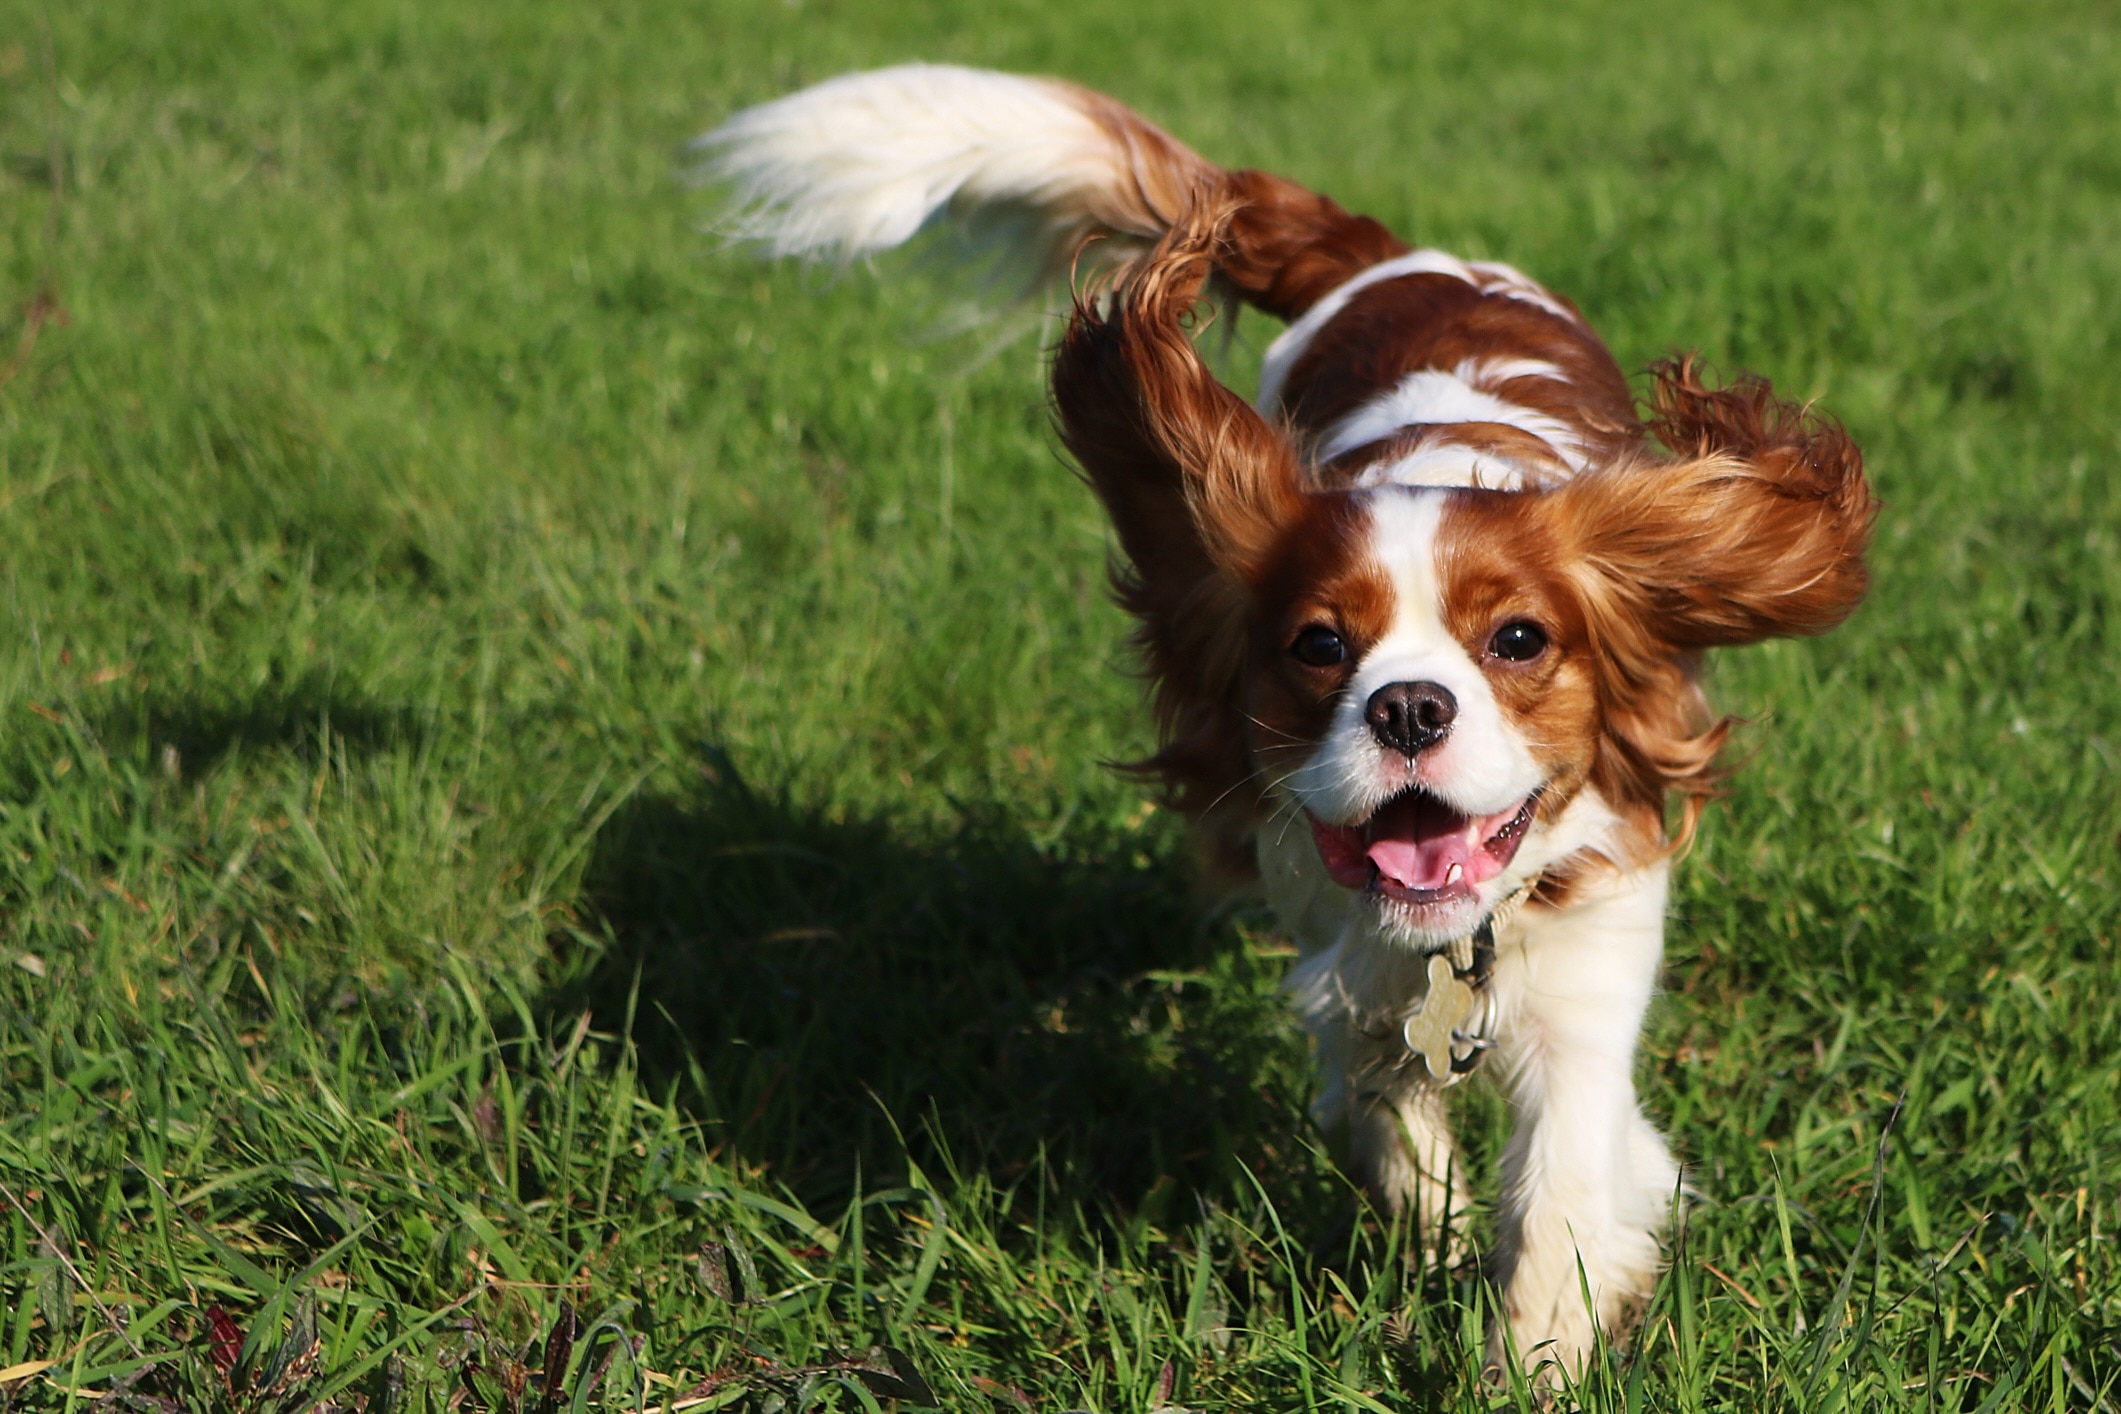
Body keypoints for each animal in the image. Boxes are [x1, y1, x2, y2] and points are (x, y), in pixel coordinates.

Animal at [699, 63, 1874, 1373]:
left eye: (1519, 639)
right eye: (1320, 644)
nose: (1408, 706)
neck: (1451, 942)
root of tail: (1397, 256)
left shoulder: (1592, 968)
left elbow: (1563, 1192)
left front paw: (1528, 1361)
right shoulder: (1336, 948)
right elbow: (1380, 1107)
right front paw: (1433, 1234)